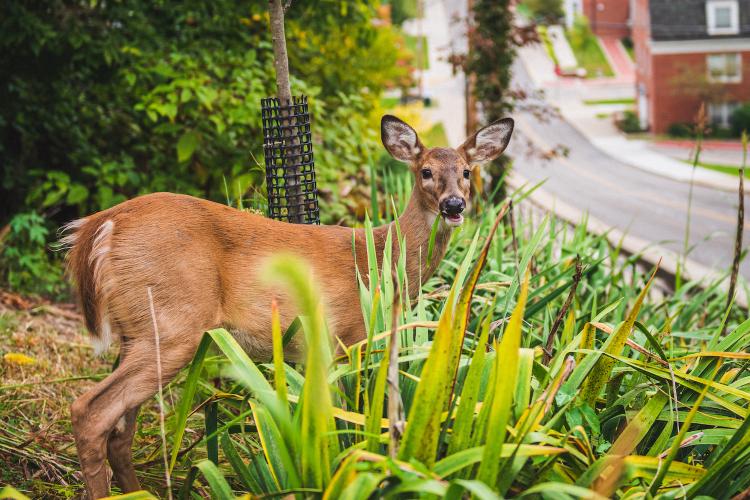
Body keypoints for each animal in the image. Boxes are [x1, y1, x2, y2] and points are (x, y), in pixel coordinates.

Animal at [61, 114, 516, 496]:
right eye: (426, 172)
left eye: (466, 172)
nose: (454, 205)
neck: (381, 262)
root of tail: (101, 224)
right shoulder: (342, 339)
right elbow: (338, 421)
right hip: (174, 324)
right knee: (91, 411)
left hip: (137, 330)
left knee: (120, 429)